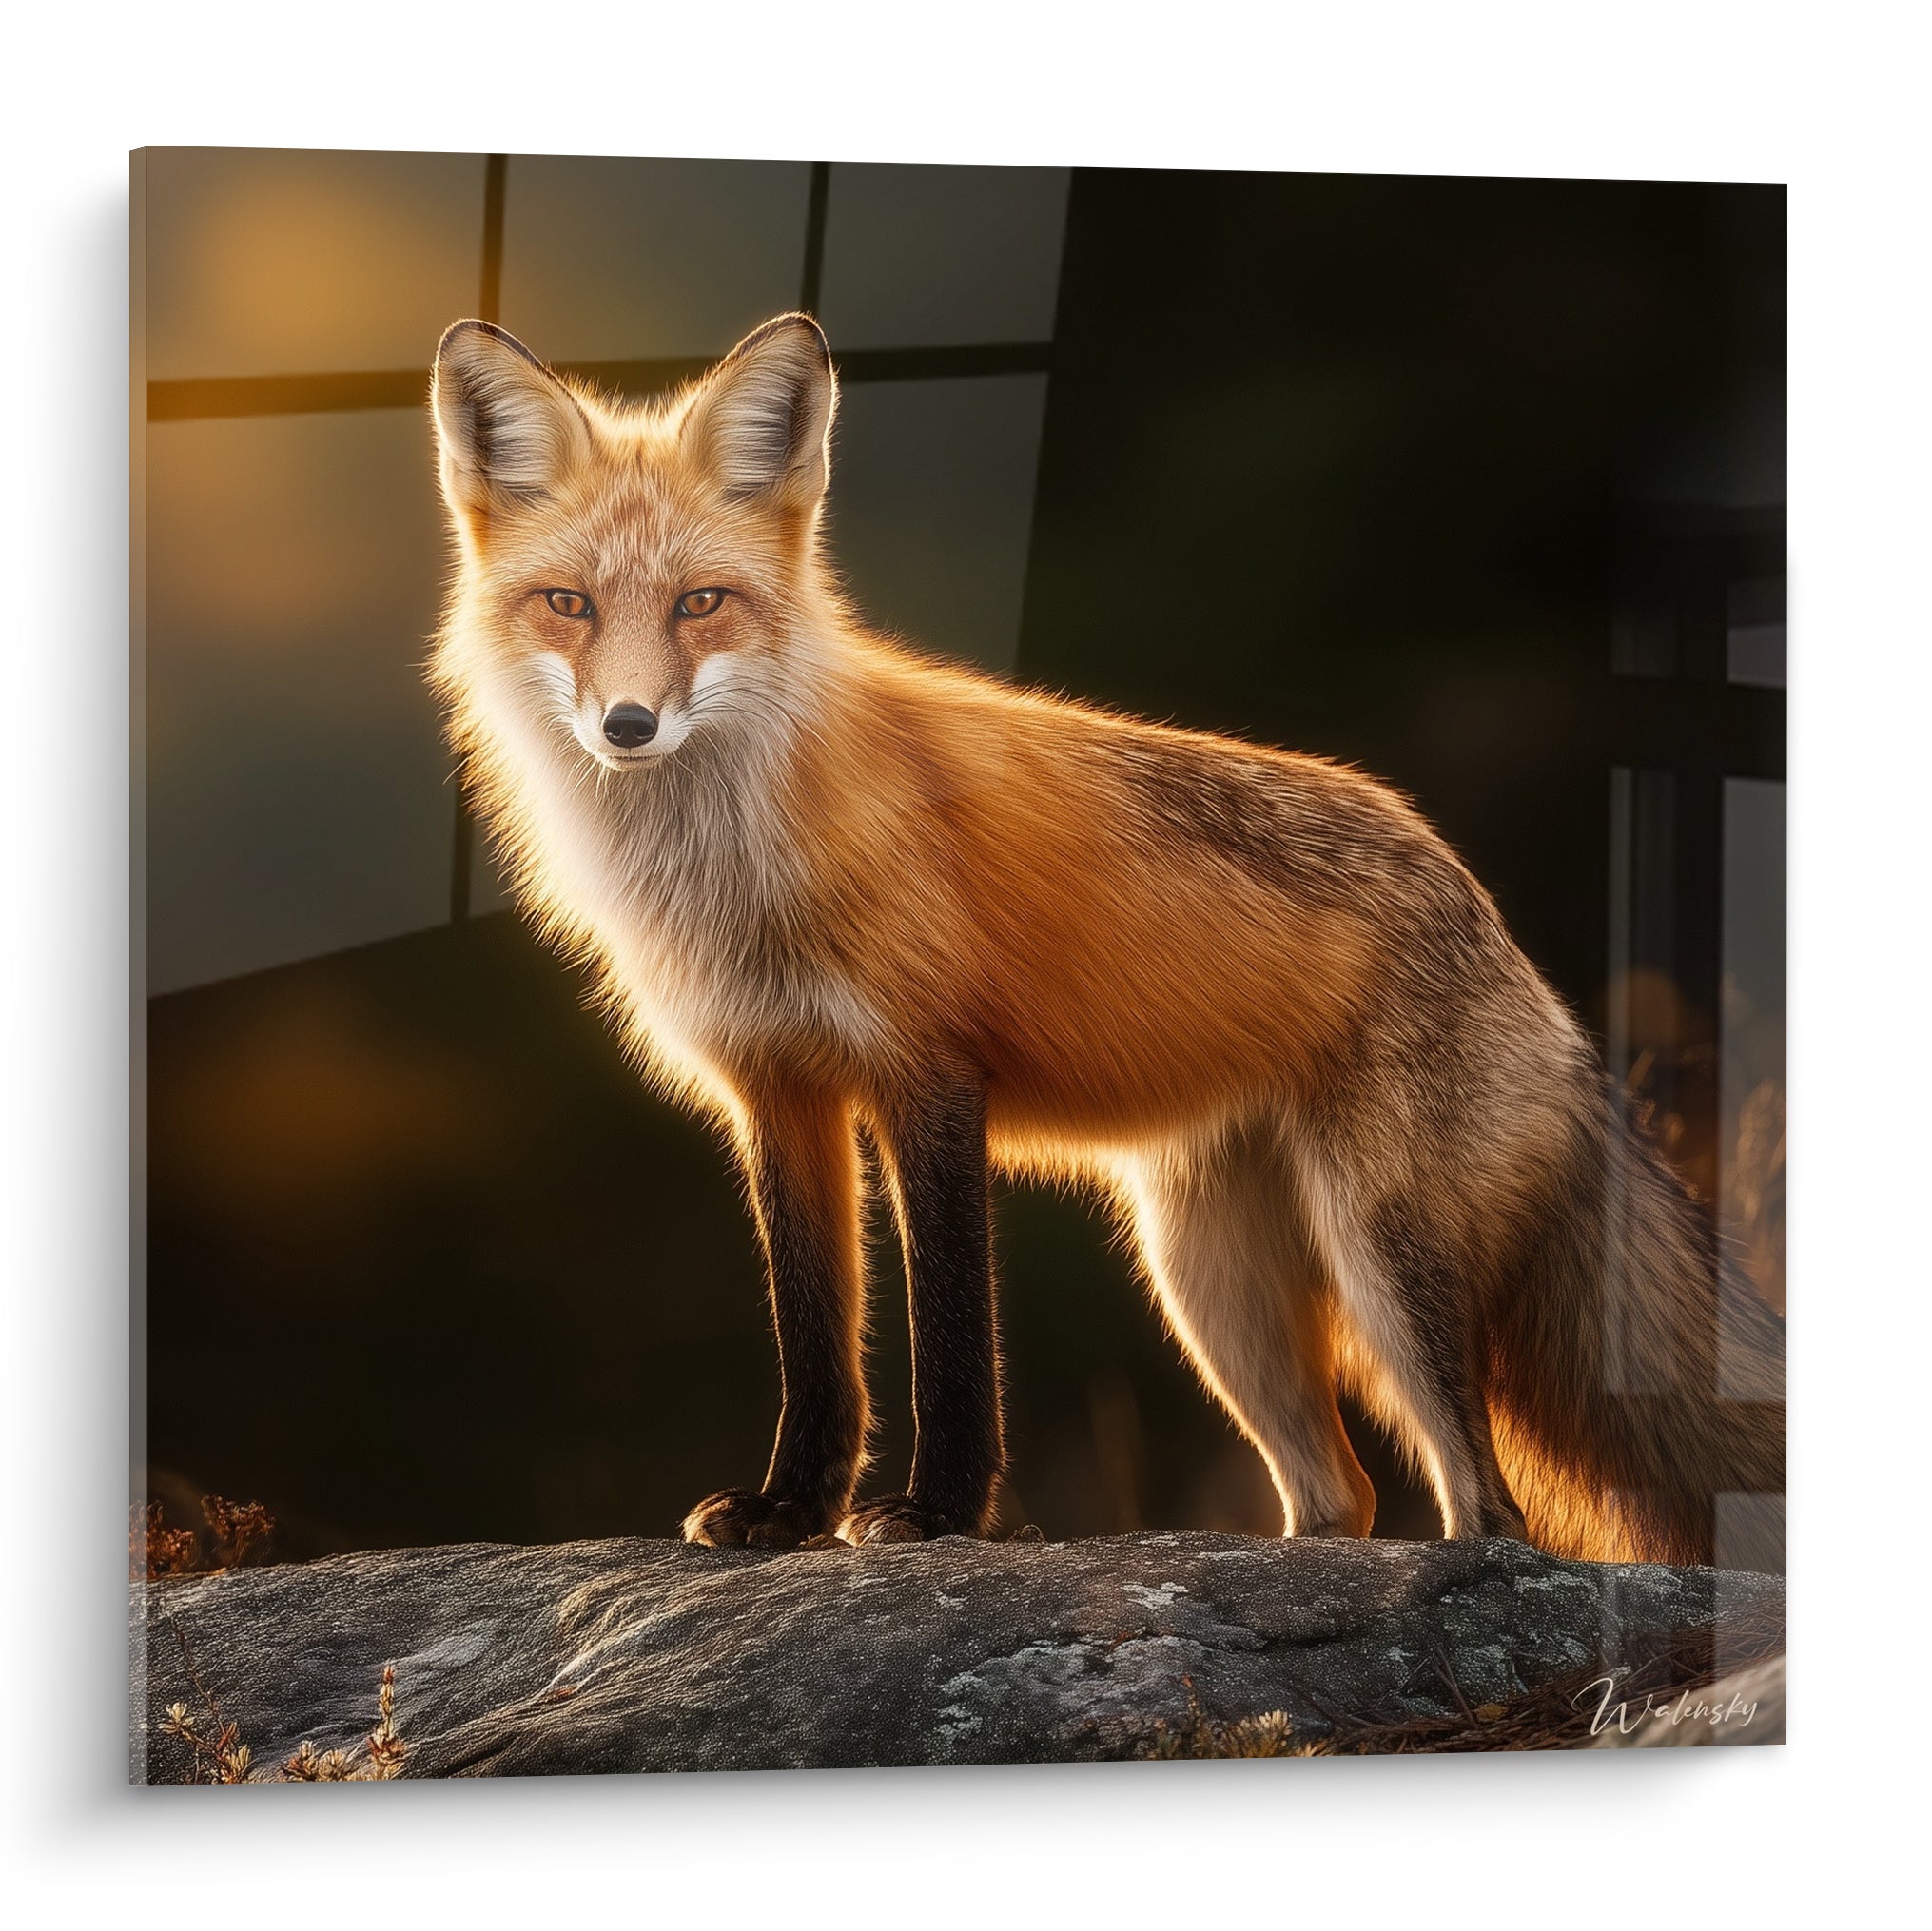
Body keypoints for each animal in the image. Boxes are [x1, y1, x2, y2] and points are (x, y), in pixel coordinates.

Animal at [426, 309, 1785, 1565]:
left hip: (1383, 1264)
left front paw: (937, 1515)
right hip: (1211, 1290)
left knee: (1491, 1509)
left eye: (701, 603)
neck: (734, 863)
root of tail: (1506, 941)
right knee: (1339, 1496)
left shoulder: (928, 1075)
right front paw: (790, 1510)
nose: (629, 724)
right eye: (569, 605)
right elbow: (816, 1345)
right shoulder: (780, 1088)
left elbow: (954, 1340)